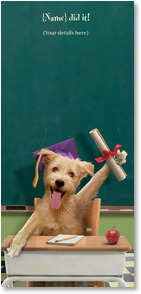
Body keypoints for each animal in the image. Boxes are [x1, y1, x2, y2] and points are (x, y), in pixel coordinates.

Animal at [7, 148, 127, 286]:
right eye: (54, 169)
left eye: (71, 174)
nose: (59, 182)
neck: (58, 210)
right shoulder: (38, 220)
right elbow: (27, 227)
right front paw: (15, 244)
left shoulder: (81, 201)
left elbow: (96, 178)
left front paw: (116, 158)